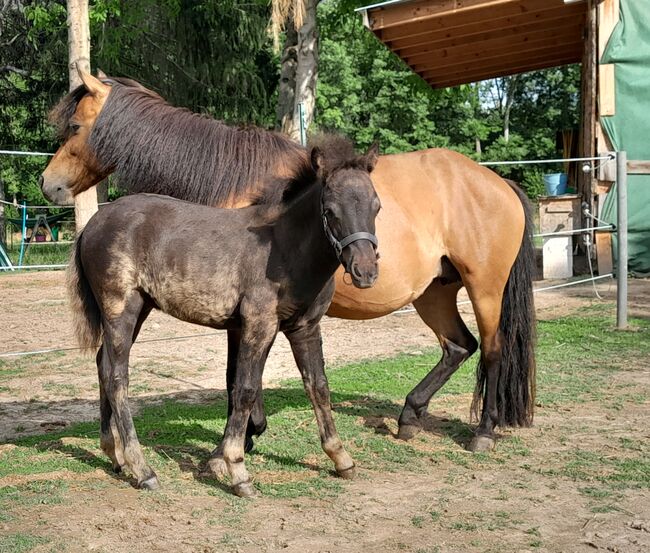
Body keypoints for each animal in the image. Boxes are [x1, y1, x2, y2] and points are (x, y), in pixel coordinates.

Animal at [43, 69, 536, 458]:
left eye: (73, 126)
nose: (49, 185)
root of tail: (497, 181)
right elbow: (240, 375)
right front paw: (246, 437)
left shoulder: (247, 312)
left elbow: (238, 376)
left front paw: (245, 437)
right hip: (434, 292)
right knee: (458, 346)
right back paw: (410, 416)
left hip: (484, 289)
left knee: (492, 351)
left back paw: (483, 432)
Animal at [67, 138, 380, 496]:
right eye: (330, 211)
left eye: (376, 206)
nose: (366, 272)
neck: (284, 246)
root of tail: (92, 224)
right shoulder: (259, 325)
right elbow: (245, 389)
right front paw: (238, 471)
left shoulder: (304, 329)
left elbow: (318, 386)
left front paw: (341, 458)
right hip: (121, 308)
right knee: (116, 376)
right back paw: (142, 468)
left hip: (138, 309)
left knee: (102, 365)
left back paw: (113, 453)